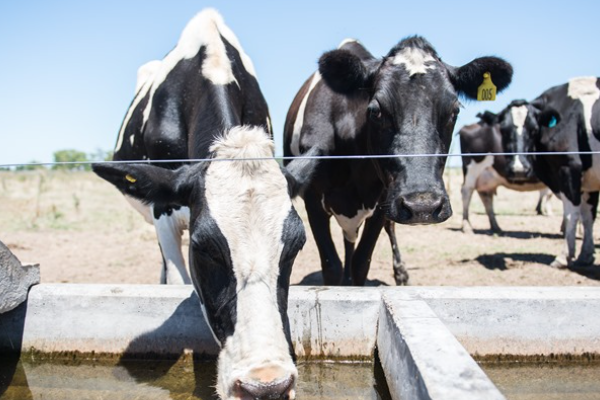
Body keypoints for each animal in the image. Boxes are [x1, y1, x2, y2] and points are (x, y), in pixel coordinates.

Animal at [284, 36, 512, 286]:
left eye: (454, 111)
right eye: (375, 110)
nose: (423, 207)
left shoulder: (383, 201)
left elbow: (361, 263)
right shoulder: (312, 200)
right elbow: (331, 267)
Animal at [462, 103, 556, 234]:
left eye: (534, 130)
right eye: (504, 131)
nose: (519, 170)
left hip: (487, 176)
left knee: (486, 196)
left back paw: (495, 226)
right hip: (472, 169)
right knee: (467, 192)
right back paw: (467, 226)